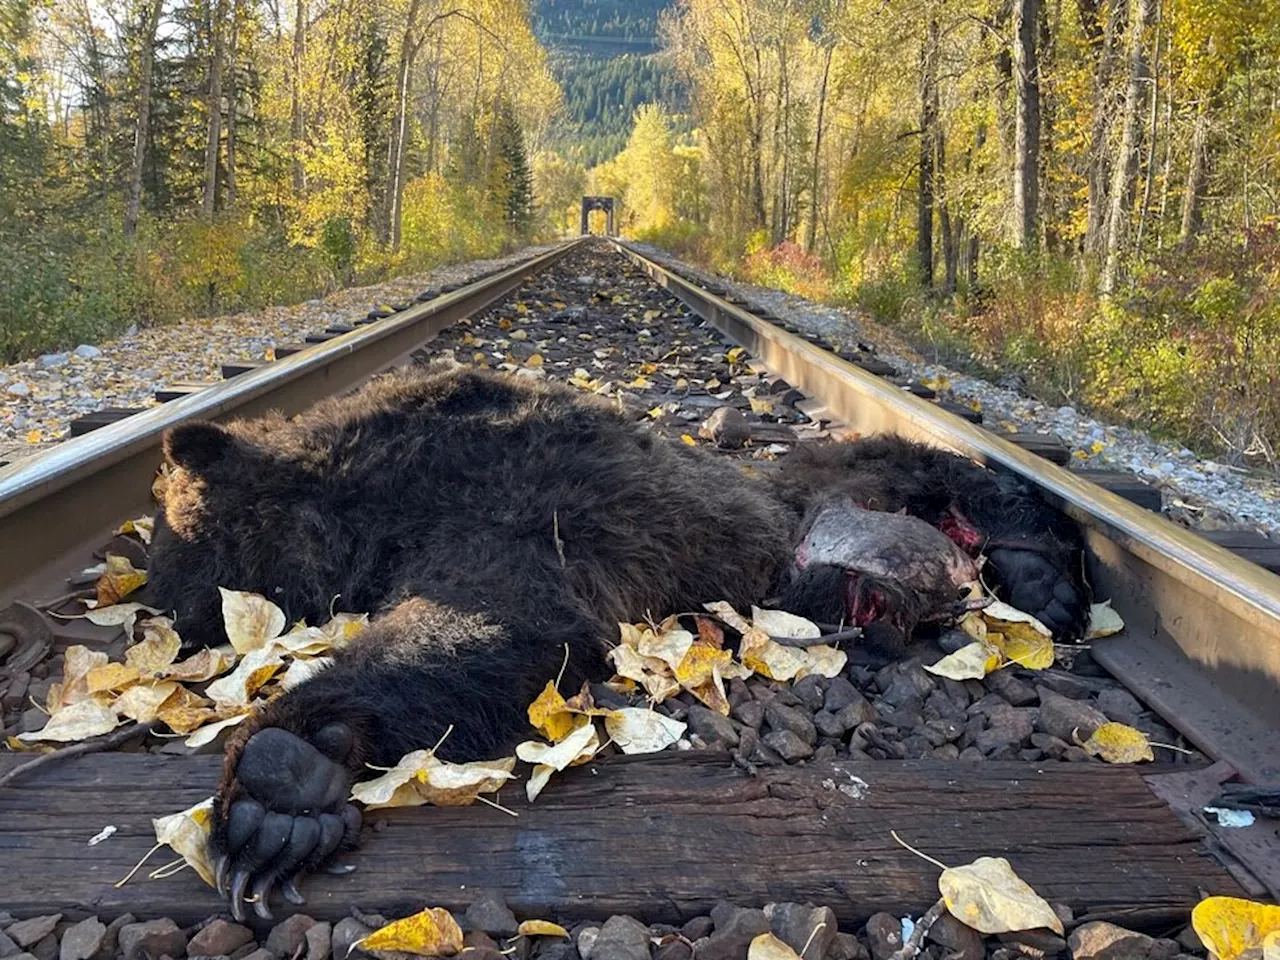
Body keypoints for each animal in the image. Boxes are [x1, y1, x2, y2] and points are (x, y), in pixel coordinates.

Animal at [149, 363, 1090, 921]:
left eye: (170, 545)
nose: (163, 609)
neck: (365, 493)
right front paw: (286, 797)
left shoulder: (526, 520)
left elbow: (497, 625)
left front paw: (279, 784)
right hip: (823, 536)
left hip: (841, 477)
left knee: (959, 472)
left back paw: (1043, 577)